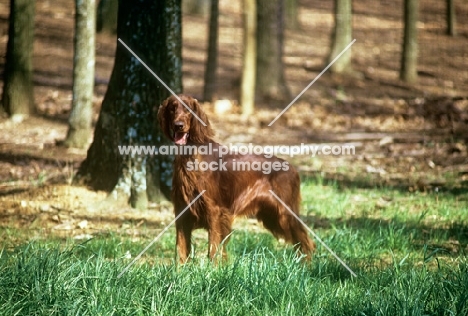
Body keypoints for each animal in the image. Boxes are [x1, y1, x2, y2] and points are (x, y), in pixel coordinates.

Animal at [157, 95, 314, 262]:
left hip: (285, 213)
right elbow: (180, 250)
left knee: (307, 242)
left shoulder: (215, 211)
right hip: (272, 216)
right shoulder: (182, 211)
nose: (178, 125)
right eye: (172, 108)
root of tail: (293, 169)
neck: (191, 155)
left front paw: (212, 268)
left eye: (188, 109)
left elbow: (213, 249)